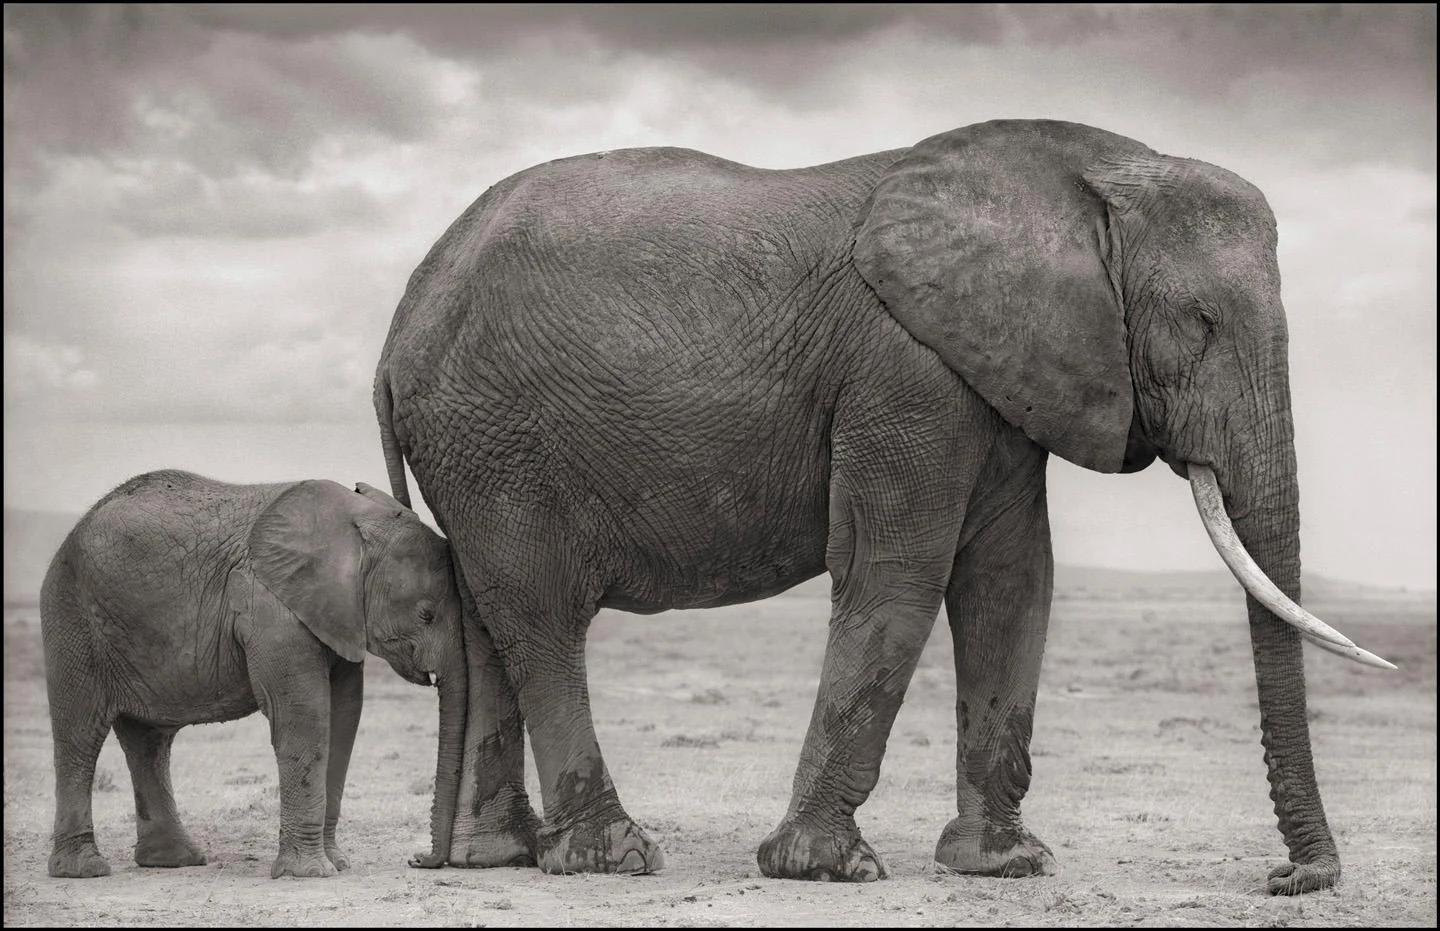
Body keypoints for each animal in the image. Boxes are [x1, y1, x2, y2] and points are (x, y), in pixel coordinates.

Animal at [40, 469, 466, 879]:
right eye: (426, 614)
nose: (418, 859)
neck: (355, 521)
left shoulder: (338, 616)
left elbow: (343, 719)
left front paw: (336, 863)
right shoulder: (269, 605)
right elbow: (303, 718)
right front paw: (309, 873)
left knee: (149, 742)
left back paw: (173, 861)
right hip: (71, 616)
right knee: (80, 734)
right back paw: (83, 870)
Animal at [371, 119, 1393, 893]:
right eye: (1200, 325)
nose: (1288, 879)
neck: (1089, 170)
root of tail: (398, 325)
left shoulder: (993, 377)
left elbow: (1012, 584)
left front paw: (1005, 866)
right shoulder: (905, 374)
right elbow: (897, 576)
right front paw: (825, 870)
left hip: (474, 447)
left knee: (484, 622)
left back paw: (500, 856)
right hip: (494, 440)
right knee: (539, 618)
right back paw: (614, 856)